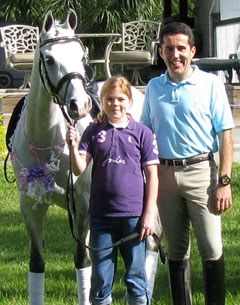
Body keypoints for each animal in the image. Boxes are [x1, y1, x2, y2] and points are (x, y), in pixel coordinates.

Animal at [7, 8, 162, 304]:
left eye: (81, 56)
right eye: (49, 59)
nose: (79, 105)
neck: (47, 139)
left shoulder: (83, 207)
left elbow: (83, 262)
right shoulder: (30, 207)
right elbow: (36, 264)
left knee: (149, 242)